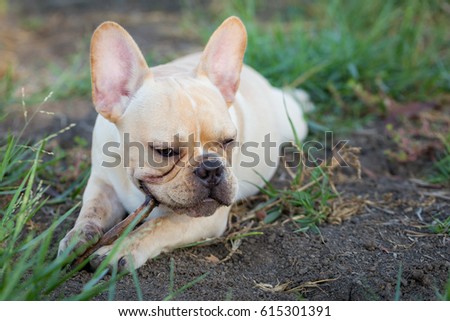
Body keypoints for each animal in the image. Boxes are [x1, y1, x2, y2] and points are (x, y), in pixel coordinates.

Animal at [59, 15, 310, 270]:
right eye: (165, 151)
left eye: (229, 141)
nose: (211, 168)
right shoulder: (102, 182)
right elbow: (92, 209)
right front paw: (78, 236)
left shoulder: (206, 218)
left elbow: (157, 226)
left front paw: (119, 250)